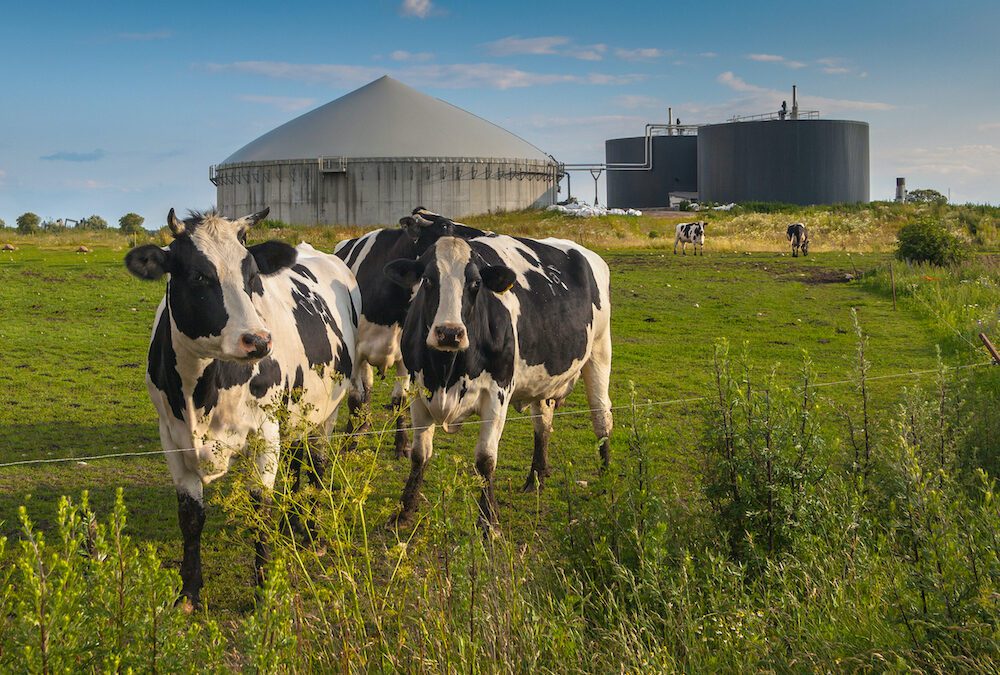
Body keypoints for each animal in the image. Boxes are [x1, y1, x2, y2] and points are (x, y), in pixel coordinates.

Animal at [124, 207, 360, 608]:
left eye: (251, 276)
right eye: (199, 276)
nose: (258, 340)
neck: (201, 393)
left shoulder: (264, 433)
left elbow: (259, 509)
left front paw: (264, 591)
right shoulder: (171, 438)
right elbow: (190, 516)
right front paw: (189, 592)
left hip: (326, 412)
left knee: (316, 466)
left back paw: (311, 534)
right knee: (297, 461)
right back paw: (292, 523)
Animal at [334, 207, 486, 460]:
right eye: (445, 226)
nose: (482, 237)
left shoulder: (405, 356)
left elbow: (400, 400)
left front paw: (402, 444)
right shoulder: (355, 352)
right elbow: (355, 397)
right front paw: (349, 443)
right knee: (365, 389)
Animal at [384, 235, 612, 532]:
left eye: (475, 283)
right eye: (428, 280)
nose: (449, 333)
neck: (447, 372)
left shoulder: (497, 393)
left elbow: (485, 460)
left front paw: (488, 520)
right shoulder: (419, 392)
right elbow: (420, 455)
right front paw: (403, 512)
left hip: (599, 352)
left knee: (601, 417)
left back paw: (605, 478)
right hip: (544, 381)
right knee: (543, 424)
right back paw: (536, 478)